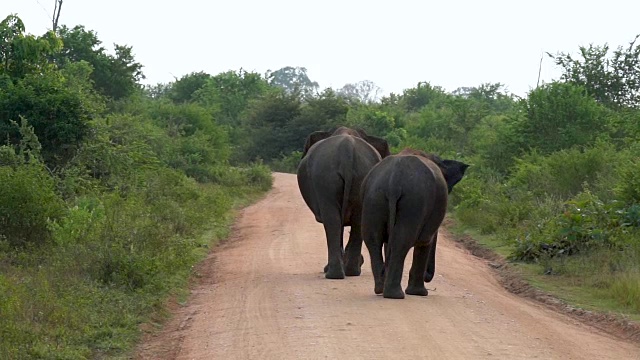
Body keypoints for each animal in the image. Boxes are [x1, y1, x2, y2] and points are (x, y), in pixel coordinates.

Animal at [298, 128, 392, 280]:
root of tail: (347, 149)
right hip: (356, 176)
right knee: (355, 221)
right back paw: (350, 272)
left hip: (325, 178)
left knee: (333, 221)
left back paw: (335, 273)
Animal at [360, 146, 470, 298]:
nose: (428, 276)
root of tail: (394, 182)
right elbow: (425, 241)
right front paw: (420, 293)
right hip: (414, 201)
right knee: (402, 241)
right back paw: (395, 294)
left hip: (375, 197)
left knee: (373, 239)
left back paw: (380, 289)